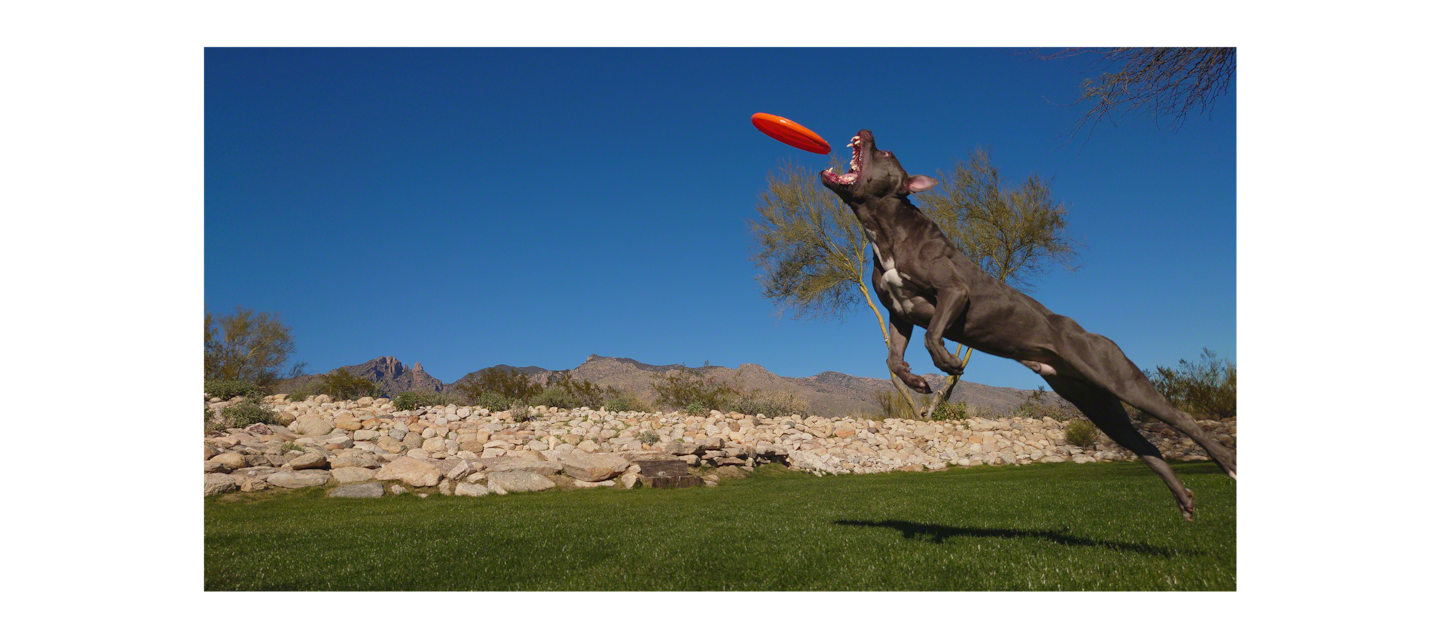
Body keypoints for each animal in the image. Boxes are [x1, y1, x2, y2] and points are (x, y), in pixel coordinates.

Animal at [823, 128, 1238, 518]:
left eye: (887, 153)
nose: (868, 131)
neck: (884, 230)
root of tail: (1096, 338)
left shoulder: (954, 292)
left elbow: (933, 335)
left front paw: (948, 363)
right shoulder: (898, 313)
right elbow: (893, 359)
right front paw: (918, 381)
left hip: (1120, 378)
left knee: (1182, 418)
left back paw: (1228, 464)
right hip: (1097, 404)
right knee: (1147, 447)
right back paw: (1183, 498)